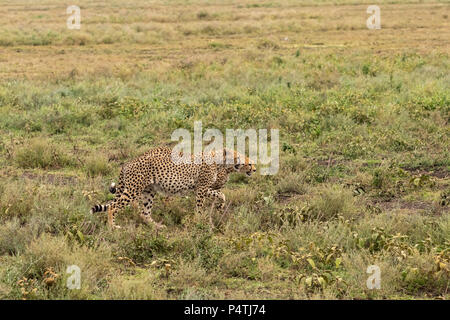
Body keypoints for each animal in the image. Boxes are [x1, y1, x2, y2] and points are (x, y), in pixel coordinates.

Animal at [90, 146, 256, 229]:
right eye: (242, 161)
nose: (254, 169)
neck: (218, 162)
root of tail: (128, 162)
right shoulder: (201, 189)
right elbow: (201, 206)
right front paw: (200, 221)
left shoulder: (202, 188)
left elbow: (221, 195)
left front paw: (219, 208)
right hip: (133, 190)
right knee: (113, 207)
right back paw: (113, 227)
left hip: (148, 191)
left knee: (144, 212)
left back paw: (156, 226)